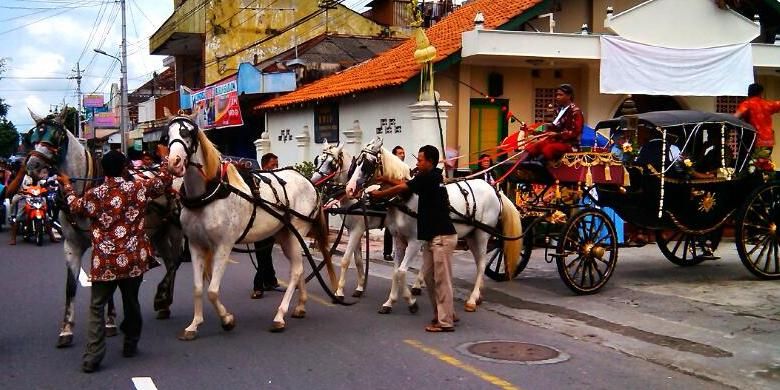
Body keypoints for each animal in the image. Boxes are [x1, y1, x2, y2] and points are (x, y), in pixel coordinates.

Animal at [166, 115, 336, 336]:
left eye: (188, 133)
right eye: (167, 135)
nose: (174, 163)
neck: (207, 194)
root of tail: (309, 182)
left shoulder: (223, 245)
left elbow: (212, 291)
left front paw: (227, 319)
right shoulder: (196, 245)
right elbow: (197, 288)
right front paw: (194, 324)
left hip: (297, 231)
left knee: (297, 270)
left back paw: (280, 316)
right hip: (284, 234)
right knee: (297, 267)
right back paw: (300, 306)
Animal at [310, 142, 424, 298]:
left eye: (331, 163)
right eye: (317, 160)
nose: (312, 181)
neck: (355, 198)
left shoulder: (357, 230)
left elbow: (346, 260)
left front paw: (339, 291)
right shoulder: (353, 230)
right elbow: (358, 260)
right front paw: (360, 287)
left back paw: (417, 285)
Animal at [346, 137, 516, 314]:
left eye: (367, 163)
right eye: (357, 161)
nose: (349, 189)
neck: (406, 197)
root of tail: (494, 190)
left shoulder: (415, 242)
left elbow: (402, 272)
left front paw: (411, 302)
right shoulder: (399, 240)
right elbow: (395, 271)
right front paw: (389, 302)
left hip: (482, 234)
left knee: (482, 263)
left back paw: (472, 299)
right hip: (471, 235)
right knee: (478, 263)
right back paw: (478, 296)